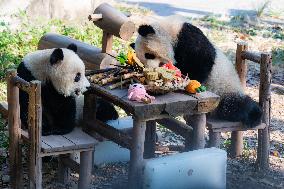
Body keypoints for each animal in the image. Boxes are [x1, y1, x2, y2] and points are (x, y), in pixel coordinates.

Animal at [133, 16, 262, 127]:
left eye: (149, 55)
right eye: (142, 62)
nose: (151, 70)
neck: (168, 31)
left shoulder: (187, 39)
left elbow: (200, 64)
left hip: (226, 89)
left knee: (237, 105)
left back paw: (254, 116)